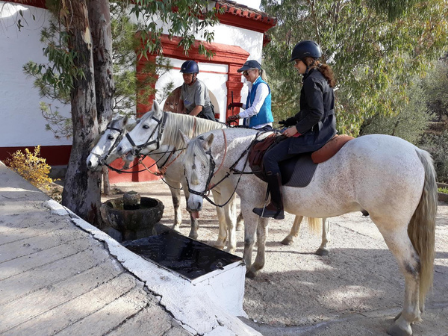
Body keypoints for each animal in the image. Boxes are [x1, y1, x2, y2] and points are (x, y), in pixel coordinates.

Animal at [180, 126, 436, 336]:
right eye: (184, 167)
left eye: (203, 165)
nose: (193, 205)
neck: (245, 152)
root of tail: (415, 151)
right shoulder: (263, 206)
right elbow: (262, 236)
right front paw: (257, 266)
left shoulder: (249, 203)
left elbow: (249, 239)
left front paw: (246, 269)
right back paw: (407, 315)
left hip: (392, 228)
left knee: (412, 266)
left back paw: (405, 321)